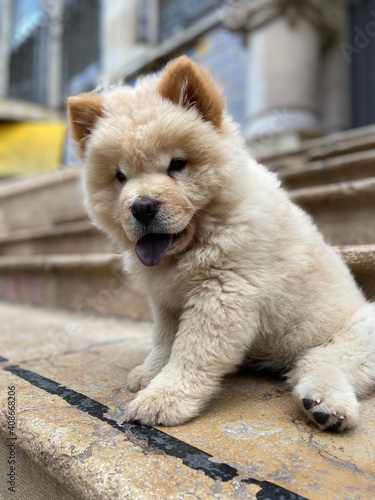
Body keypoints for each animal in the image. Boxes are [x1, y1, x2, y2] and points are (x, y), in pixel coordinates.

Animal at [68, 53, 375, 430]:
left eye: (176, 164)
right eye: (120, 177)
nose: (141, 206)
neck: (201, 236)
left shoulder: (223, 291)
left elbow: (192, 351)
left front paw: (162, 399)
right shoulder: (168, 300)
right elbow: (164, 340)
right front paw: (149, 373)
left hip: (355, 333)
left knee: (325, 363)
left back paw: (325, 406)